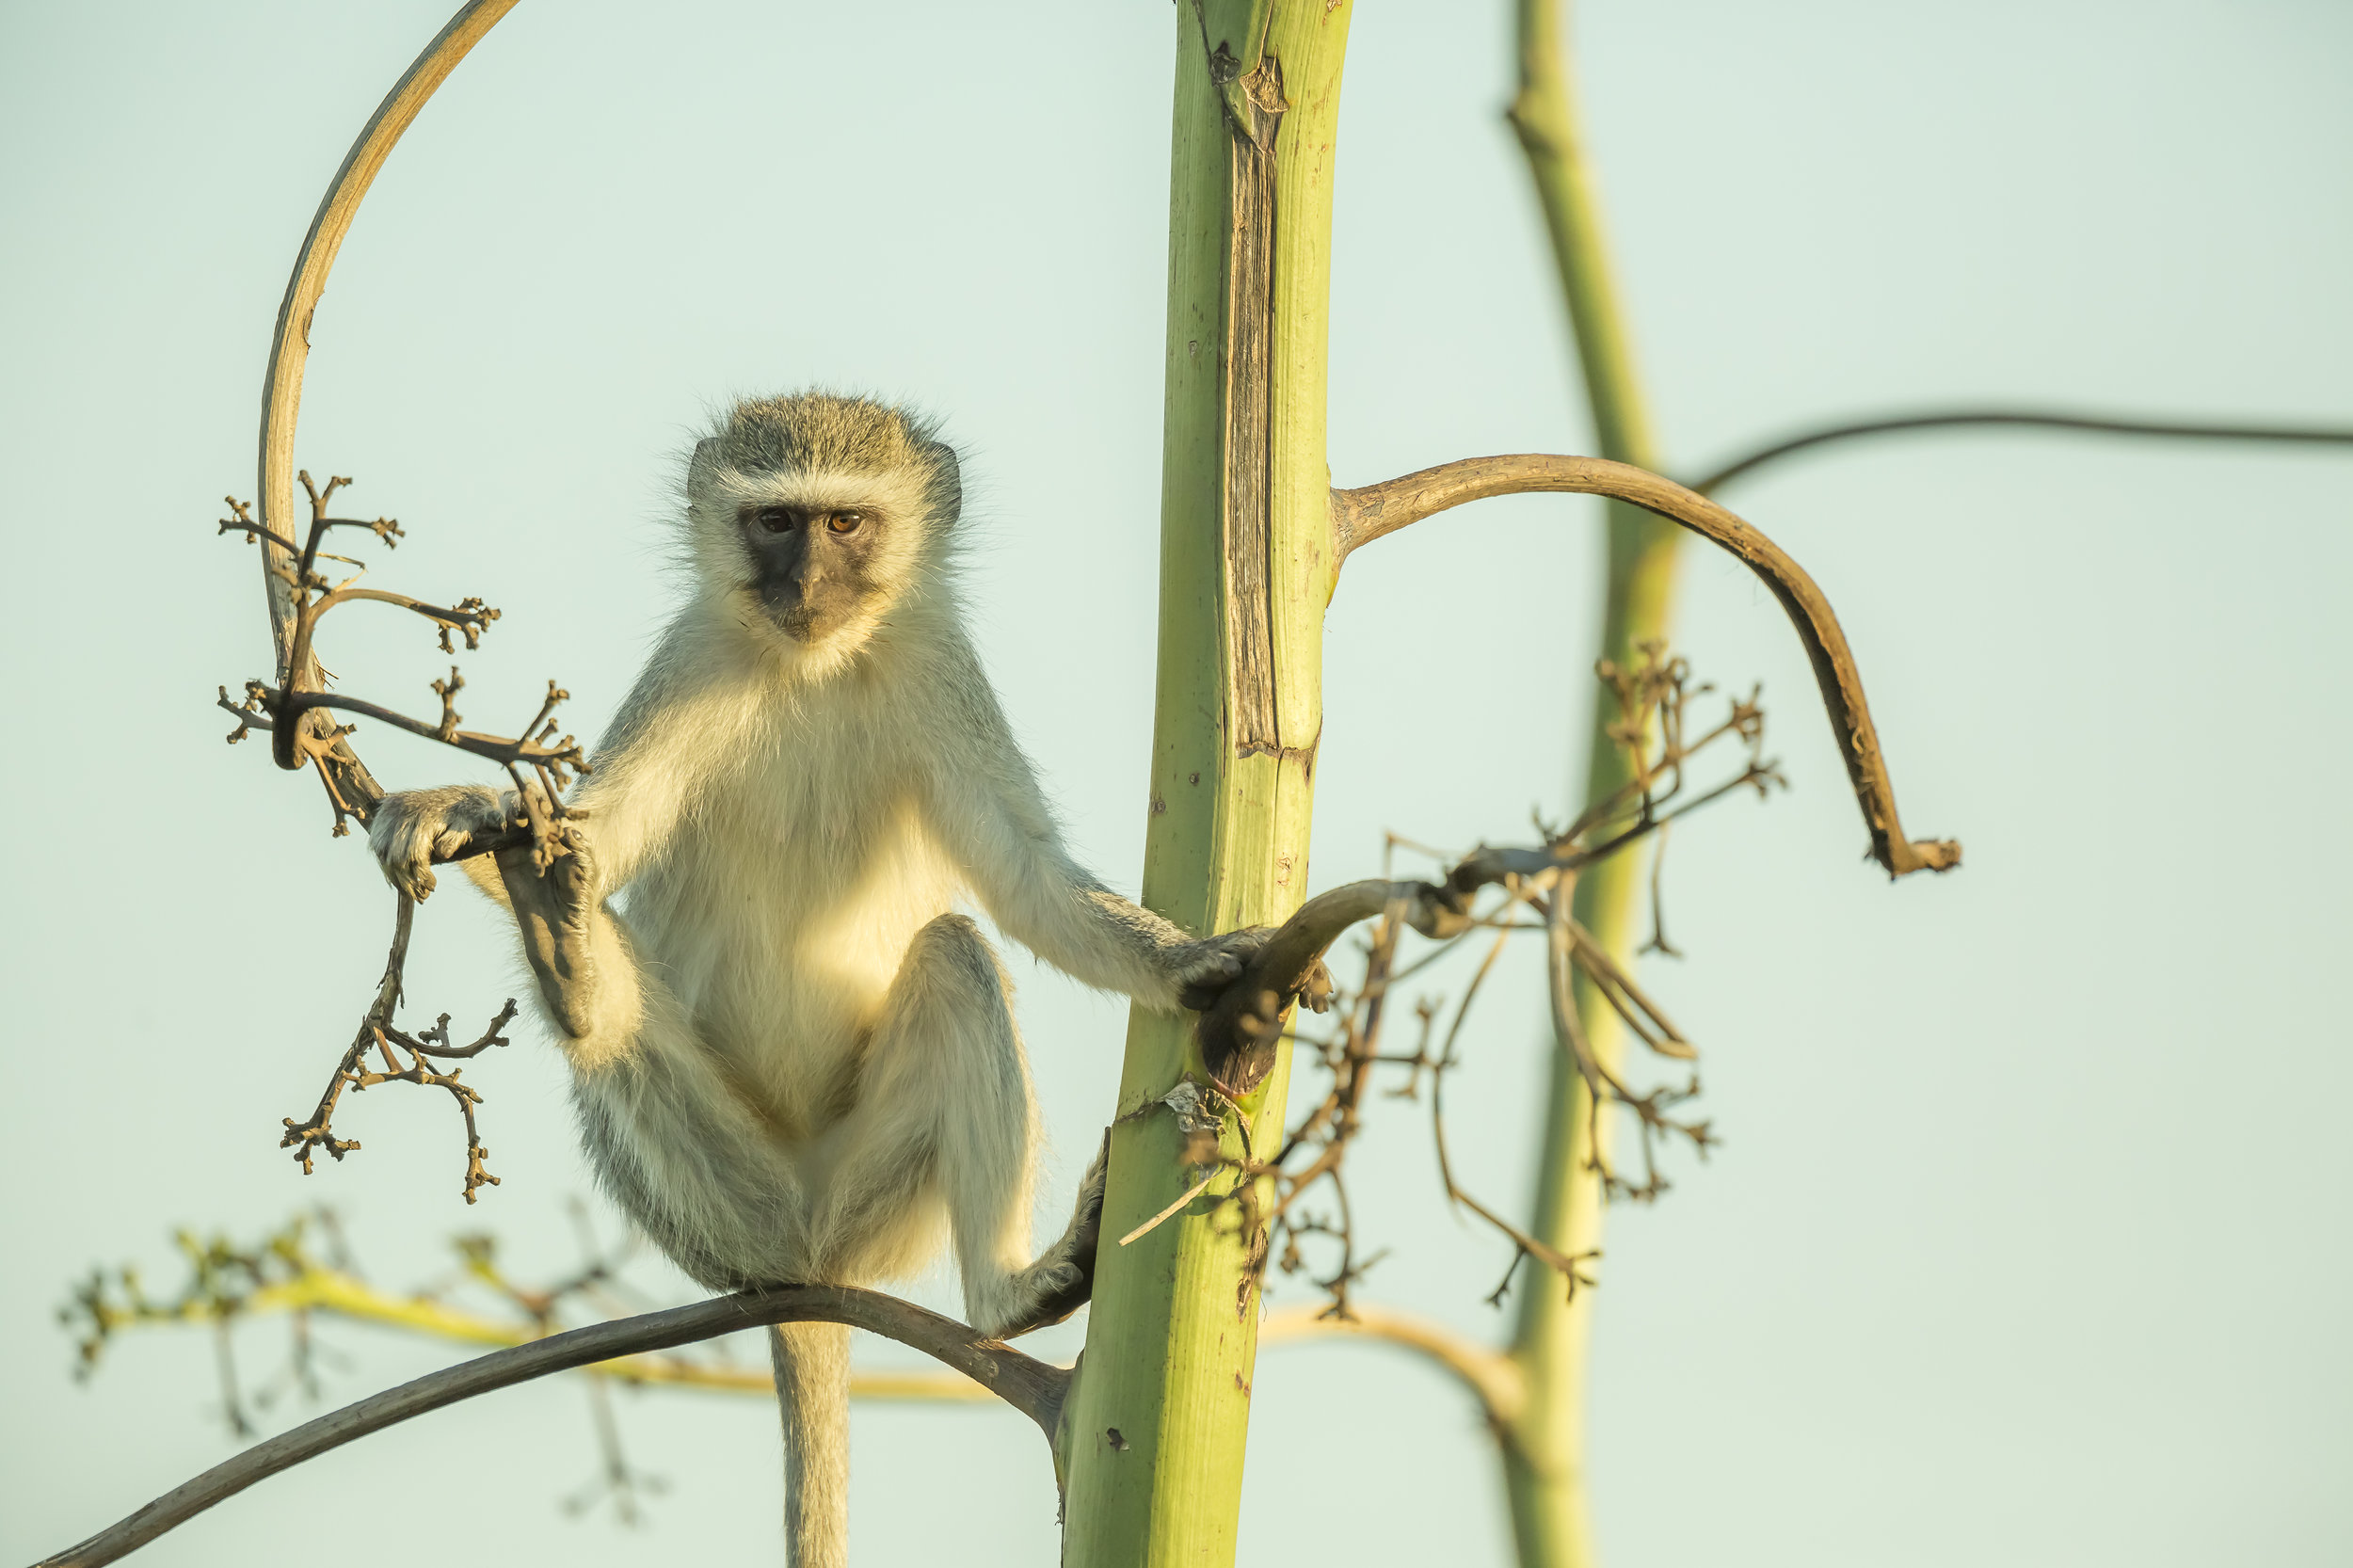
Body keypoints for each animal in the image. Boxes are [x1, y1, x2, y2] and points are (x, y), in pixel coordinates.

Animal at [376, 392, 1280, 1562]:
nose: (803, 582)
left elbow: (1027, 882)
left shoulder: (943, 665)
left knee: (955, 953)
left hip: (876, 1191)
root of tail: (811, 1272)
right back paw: (570, 962)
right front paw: (469, 809)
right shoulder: (691, 656)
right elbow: (602, 836)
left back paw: (1007, 1293)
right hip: (716, 1201)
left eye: (844, 523)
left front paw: (1184, 961)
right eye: (774, 523)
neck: (814, 661)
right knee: (616, 1047)